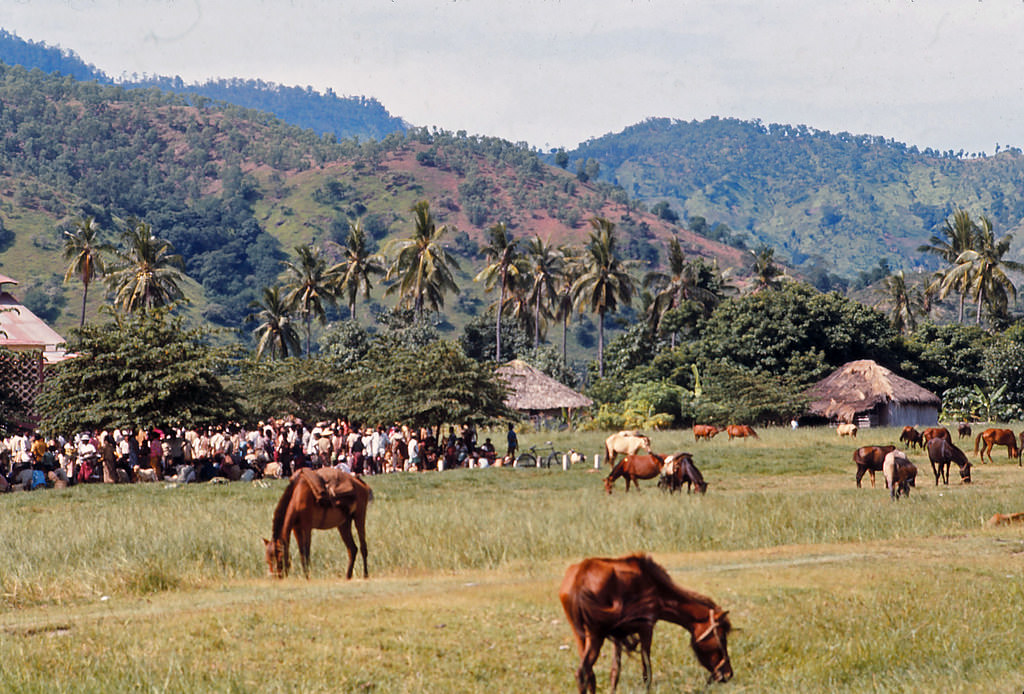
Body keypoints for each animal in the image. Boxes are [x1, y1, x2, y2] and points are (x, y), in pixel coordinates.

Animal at [561, 552, 737, 694]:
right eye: (722, 637)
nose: (728, 674)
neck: (654, 586)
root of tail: (580, 576)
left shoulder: (618, 637)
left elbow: (615, 672)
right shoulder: (646, 628)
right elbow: (647, 672)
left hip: (581, 636)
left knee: (589, 675)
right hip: (595, 636)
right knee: (582, 673)